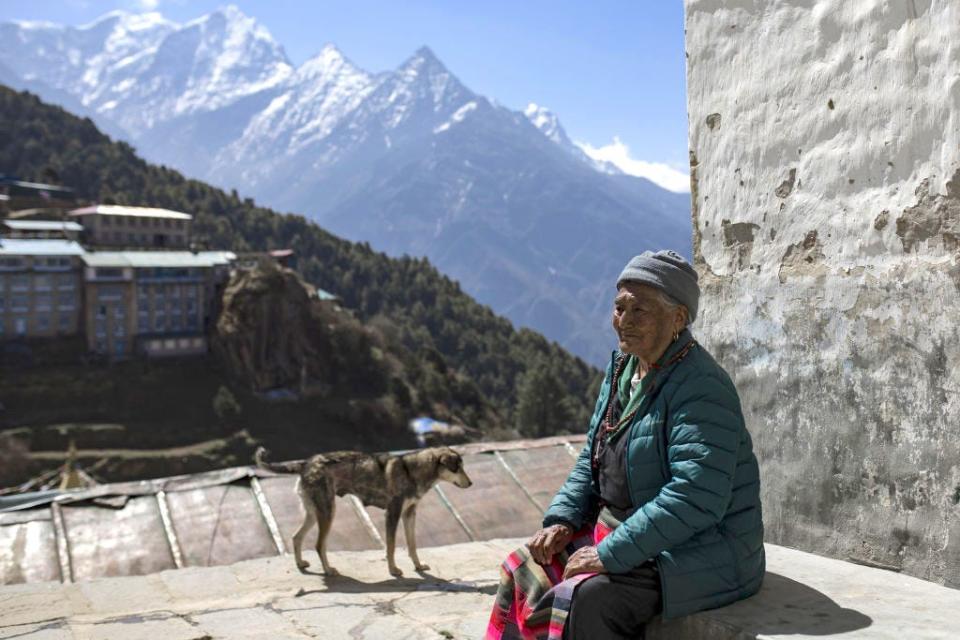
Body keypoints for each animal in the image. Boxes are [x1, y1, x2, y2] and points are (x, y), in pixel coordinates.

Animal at [251, 448, 468, 576]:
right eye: (456, 468)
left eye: (462, 467)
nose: (471, 483)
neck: (411, 471)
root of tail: (305, 463)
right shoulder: (392, 514)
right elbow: (391, 547)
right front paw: (393, 570)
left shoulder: (410, 514)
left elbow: (412, 545)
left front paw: (418, 566)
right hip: (327, 512)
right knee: (319, 544)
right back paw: (328, 570)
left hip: (314, 513)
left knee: (296, 537)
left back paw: (301, 564)